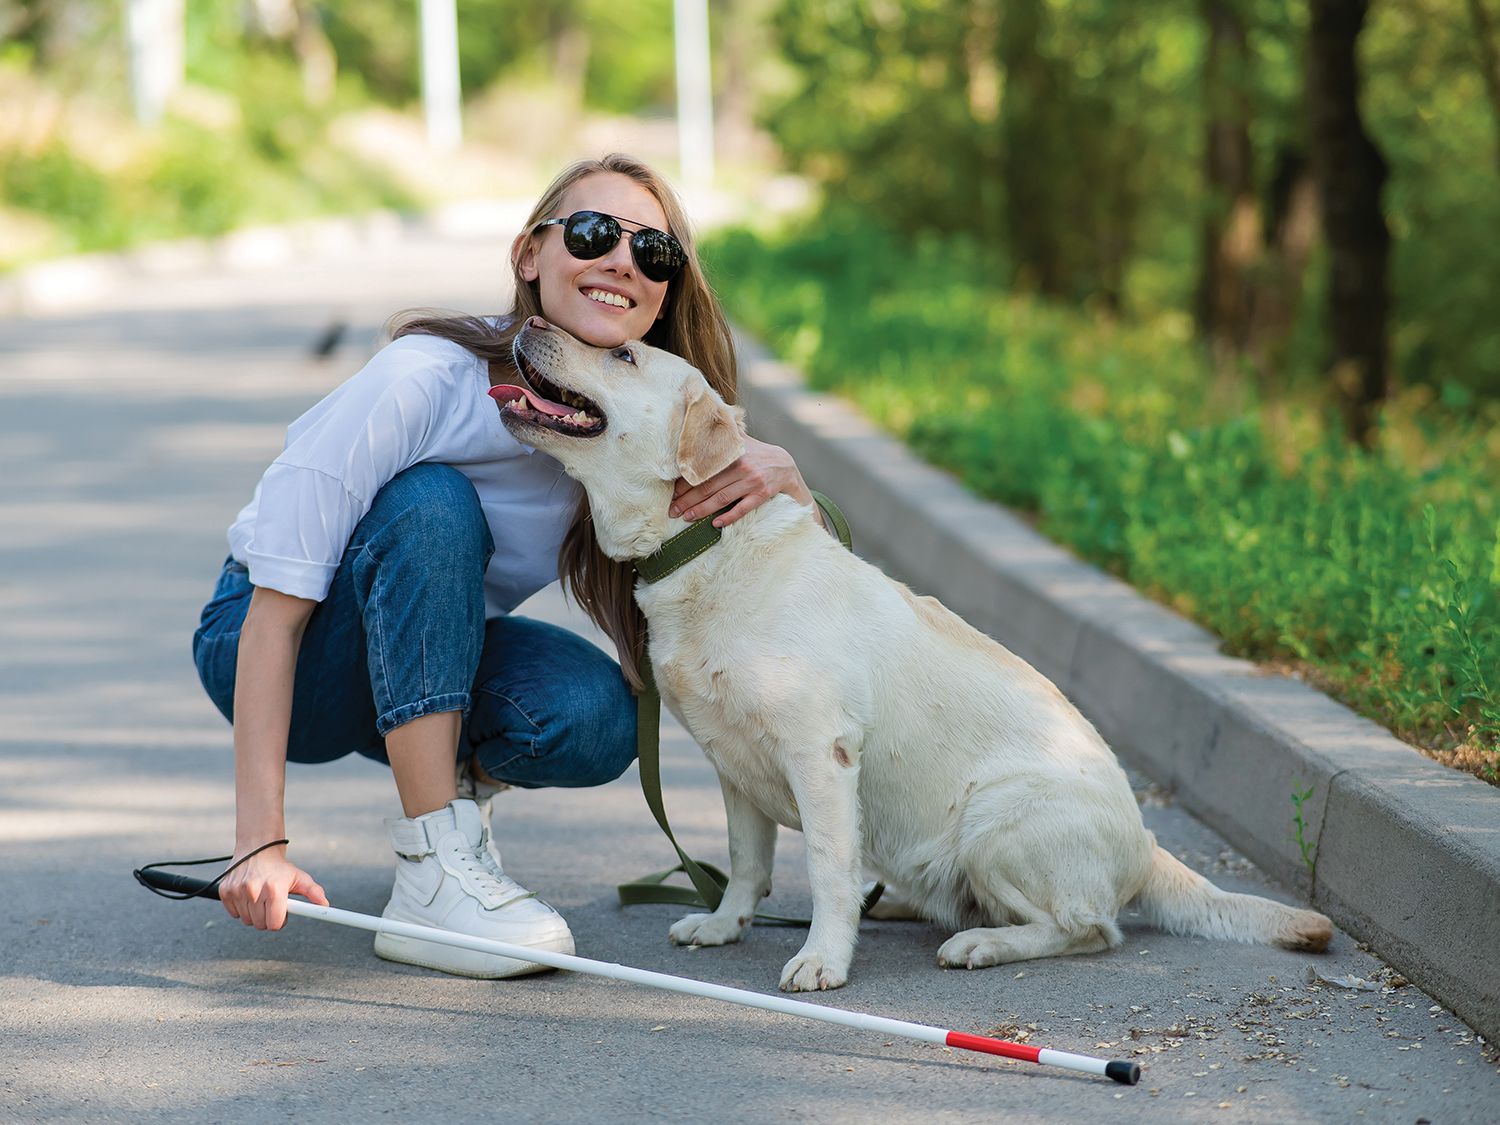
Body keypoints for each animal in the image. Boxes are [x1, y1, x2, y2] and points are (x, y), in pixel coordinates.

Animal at [495, 318, 1338, 996]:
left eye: (624, 352)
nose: (530, 319)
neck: (701, 545)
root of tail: (1149, 842)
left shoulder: (821, 753)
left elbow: (827, 869)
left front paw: (823, 958)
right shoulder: (733, 765)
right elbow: (747, 861)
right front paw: (725, 923)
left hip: (997, 817)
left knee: (1089, 926)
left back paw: (981, 940)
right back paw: (911, 900)